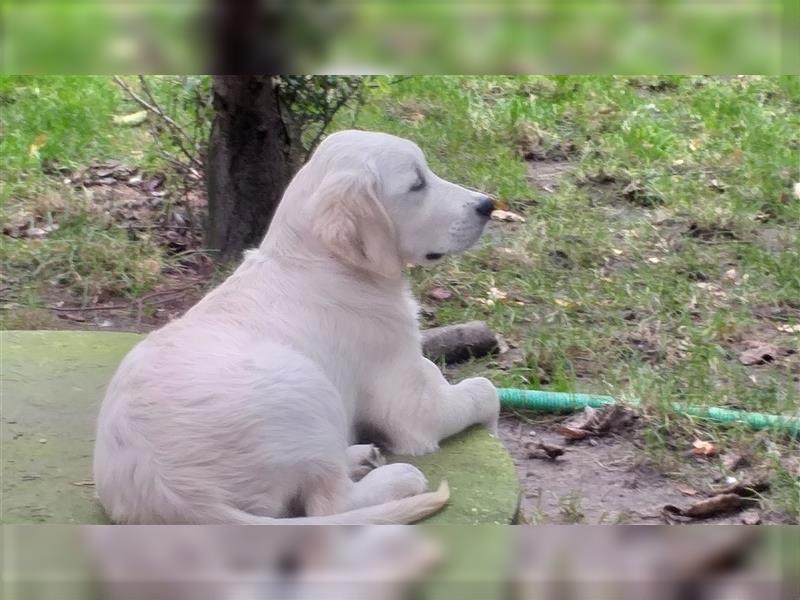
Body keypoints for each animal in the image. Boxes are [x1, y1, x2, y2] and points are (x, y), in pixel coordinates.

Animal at [94, 129, 500, 524]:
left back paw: (359, 456)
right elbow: (482, 390)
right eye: (417, 183)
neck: (319, 261)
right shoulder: (412, 406)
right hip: (306, 387)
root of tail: (178, 499)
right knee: (328, 503)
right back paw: (397, 478)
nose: (488, 205)